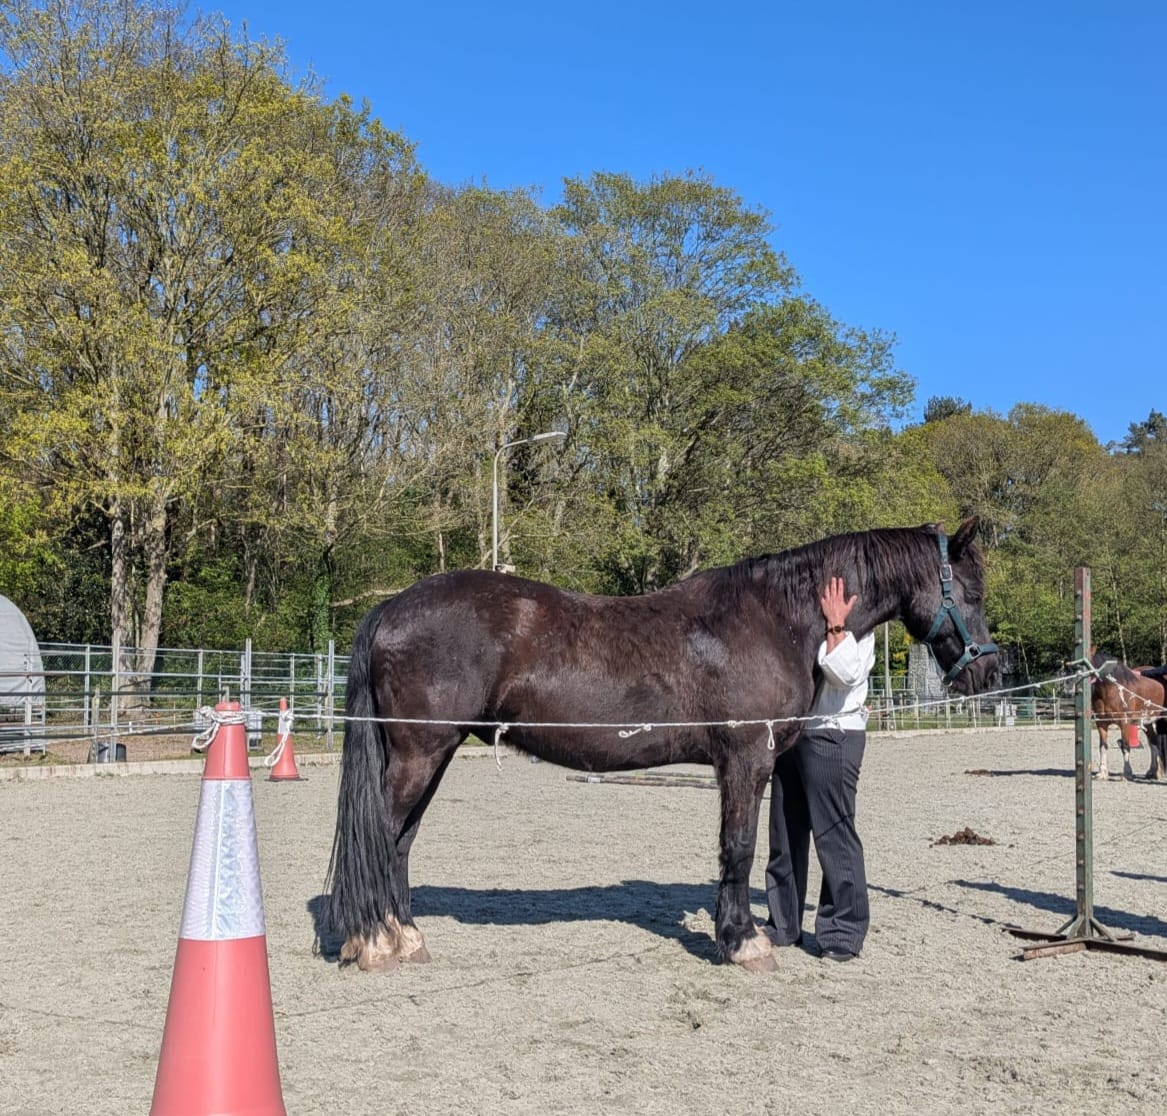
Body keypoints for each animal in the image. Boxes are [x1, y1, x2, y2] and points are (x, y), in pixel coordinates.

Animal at [326, 518, 999, 974]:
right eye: (972, 593)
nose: (988, 673)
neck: (774, 617)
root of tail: (390, 608)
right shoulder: (744, 759)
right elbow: (738, 847)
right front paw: (743, 942)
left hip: (429, 755)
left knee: (400, 842)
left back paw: (404, 936)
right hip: (419, 753)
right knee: (382, 835)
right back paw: (375, 942)